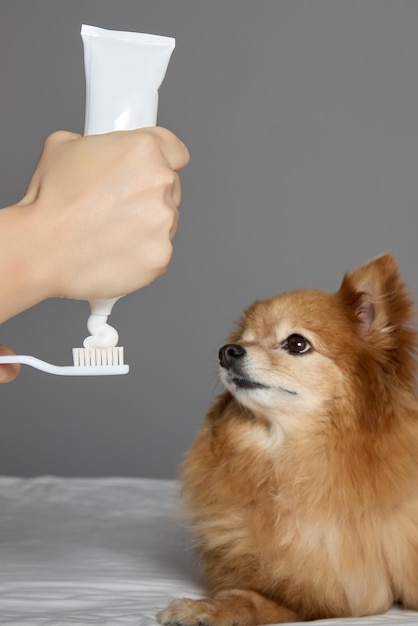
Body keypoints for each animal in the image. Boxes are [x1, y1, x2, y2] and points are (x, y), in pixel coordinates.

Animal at [158, 255, 418, 624]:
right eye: (245, 339)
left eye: (296, 343)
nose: (227, 351)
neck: (290, 462)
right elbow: (255, 591)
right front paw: (205, 607)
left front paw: (204, 609)